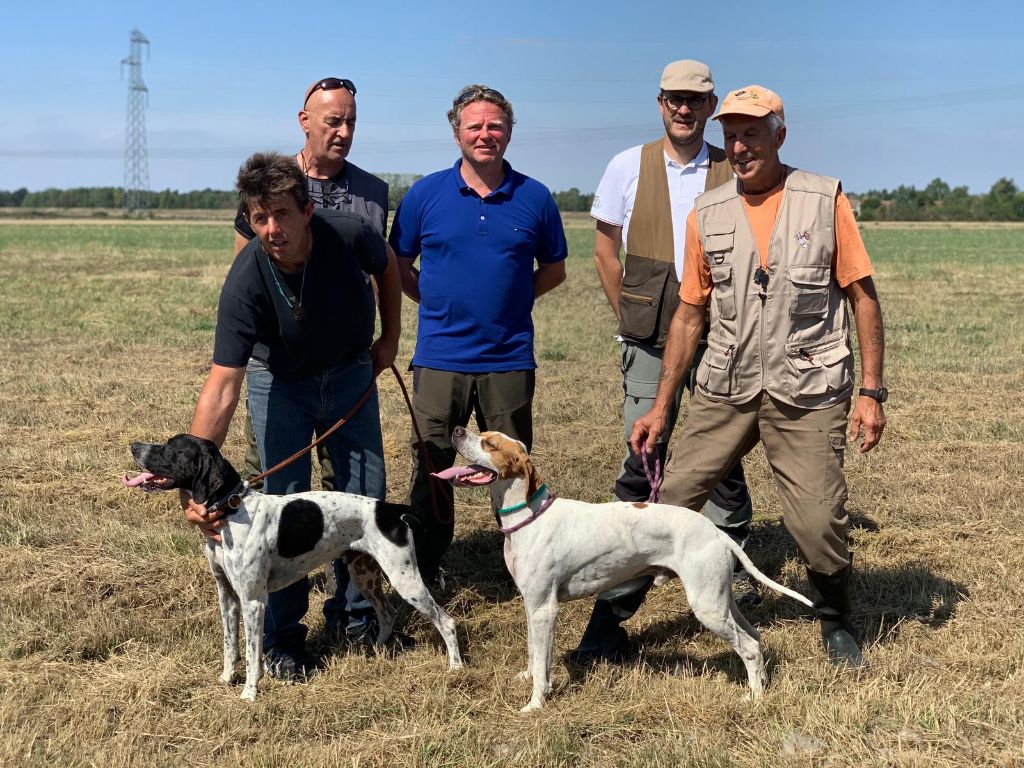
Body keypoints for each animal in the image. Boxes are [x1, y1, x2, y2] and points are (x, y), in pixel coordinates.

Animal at [124, 436, 464, 700]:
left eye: (171, 448)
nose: (134, 446)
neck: (233, 510)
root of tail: (390, 510)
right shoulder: (227, 596)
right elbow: (230, 645)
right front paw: (226, 678)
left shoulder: (253, 601)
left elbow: (252, 652)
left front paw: (249, 693)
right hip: (365, 574)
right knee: (387, 613)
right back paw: (379, 650)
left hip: (406, 580)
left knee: (446, 622)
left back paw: (456, 667)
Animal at [436, 423, 811, 712]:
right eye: (484, 435)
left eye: (489, 443)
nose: (456, 429)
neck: (530, 515)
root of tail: (717, 533)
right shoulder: (536, 608)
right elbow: (535, 655)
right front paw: (531, 679)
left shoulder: (543, 608)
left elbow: (540, 662)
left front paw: (535, 705)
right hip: (721, 600)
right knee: (756, 637)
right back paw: (761, 684)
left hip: (708, 608)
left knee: (748, 647)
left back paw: (754, 698)